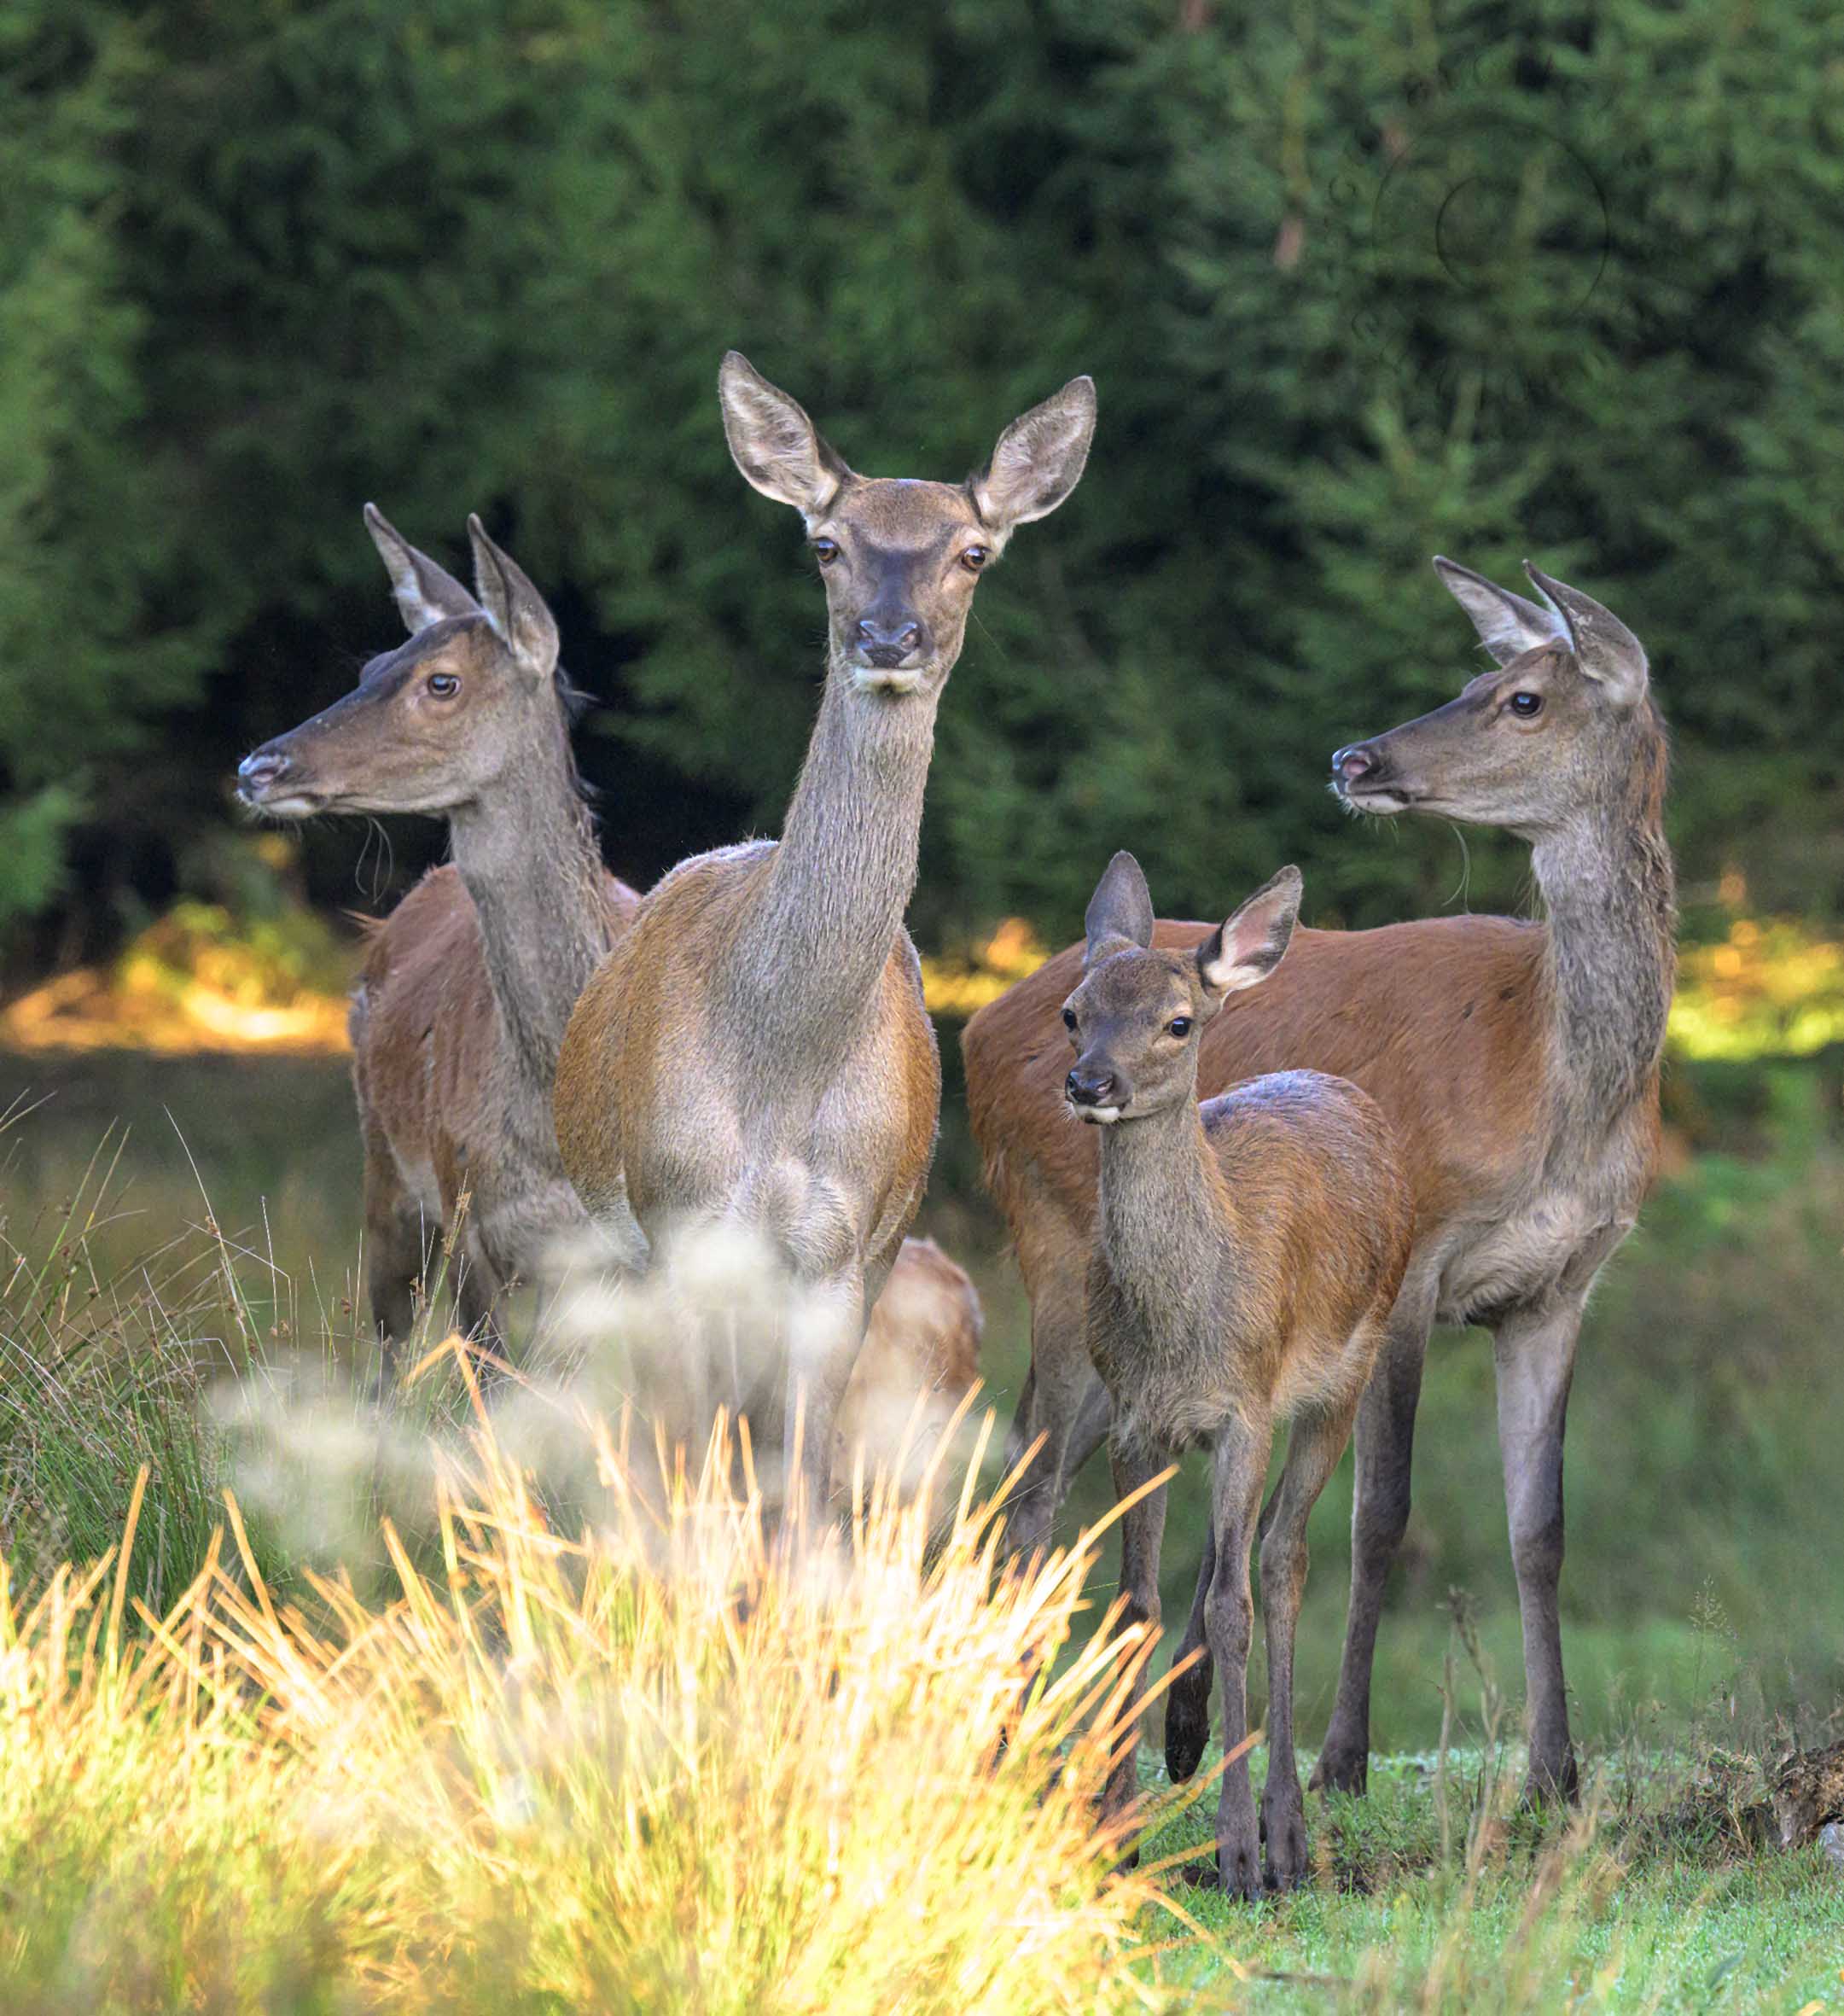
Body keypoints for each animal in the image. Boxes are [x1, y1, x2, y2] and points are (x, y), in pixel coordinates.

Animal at [236, 508, 986, 1476]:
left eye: (441, 682)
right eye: (369, 669)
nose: (261, 765)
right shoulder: (479, 1223)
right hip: (387, 1168)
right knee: (390, 1347)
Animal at [554, 352, 1095, 1513]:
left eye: (972, 552)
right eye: (826, 544)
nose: (887, 638)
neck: (779, 1068)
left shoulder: (844, 1250)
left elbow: (794, 1476)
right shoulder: (681, 1222)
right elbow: (703, 1456)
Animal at [1064, 851, 1412, 1897]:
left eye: (1177, 1022)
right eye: (1072, 1011)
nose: (1088, 1081)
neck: (1182, 1330)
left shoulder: (1246, 1406)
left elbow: (1234, 1602)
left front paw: (1239, 1851)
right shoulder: (1137, 1419)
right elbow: (1133, 1602)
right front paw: (1115, 1830)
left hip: (1344, 1372)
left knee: (1278, 1562)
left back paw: (1286, 1830)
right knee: (1238, 1558)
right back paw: (1185, 1738)